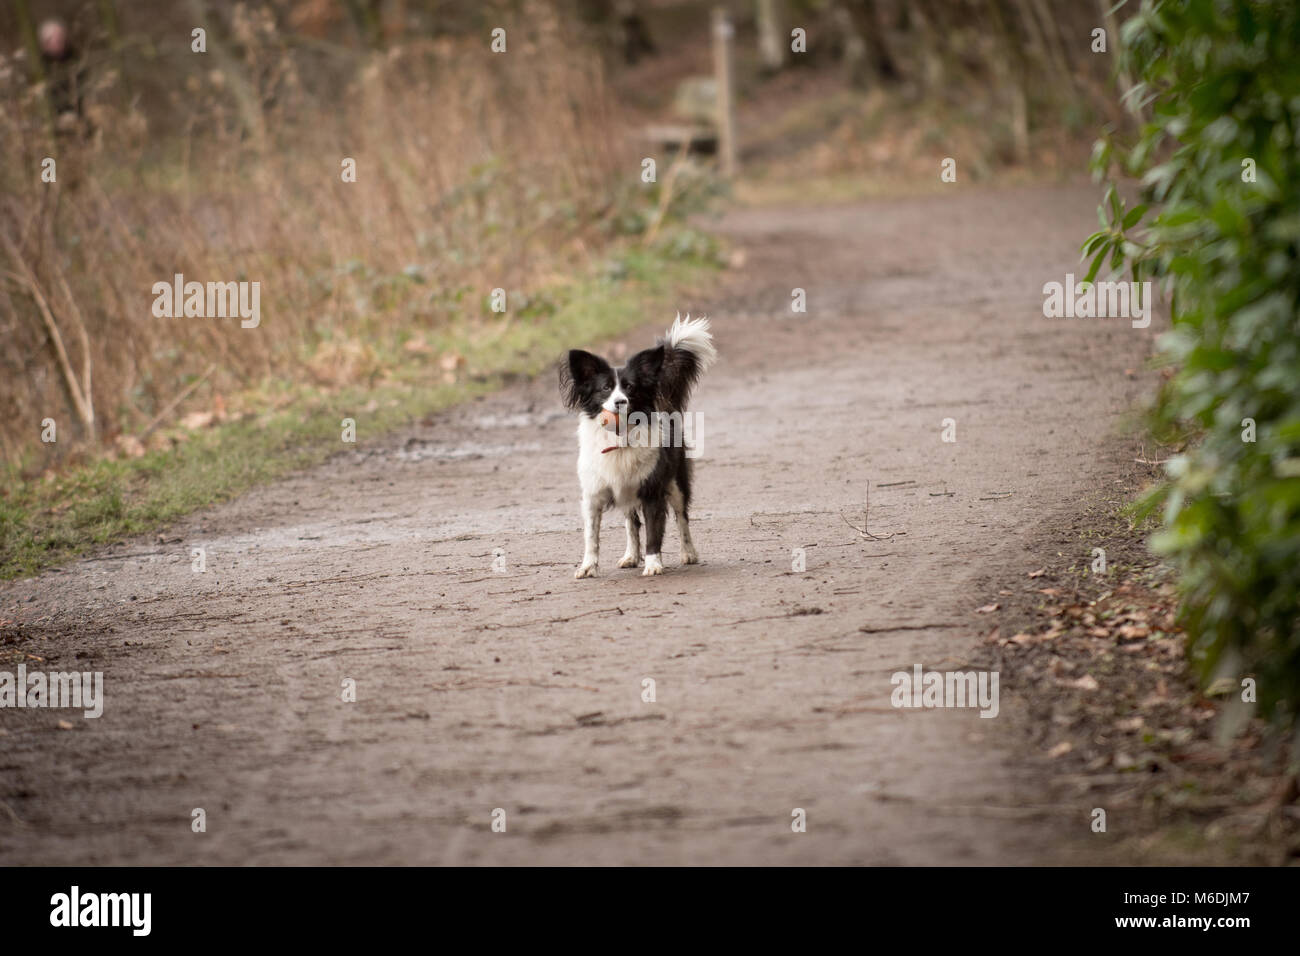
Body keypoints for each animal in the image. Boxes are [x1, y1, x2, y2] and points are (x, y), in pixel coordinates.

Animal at [559, 317, 717, 580]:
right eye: (605, 388)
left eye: (630, 387)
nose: (620, 401)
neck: (620, 439)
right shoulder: (593, 494)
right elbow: (592, 536)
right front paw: (588, 566)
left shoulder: (652, 491)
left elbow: (654, 531)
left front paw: (653, 564)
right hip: (626, 492)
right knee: (631, 523)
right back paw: (631, 556)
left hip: (675, 483)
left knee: (682, 517)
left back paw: (688, 552)